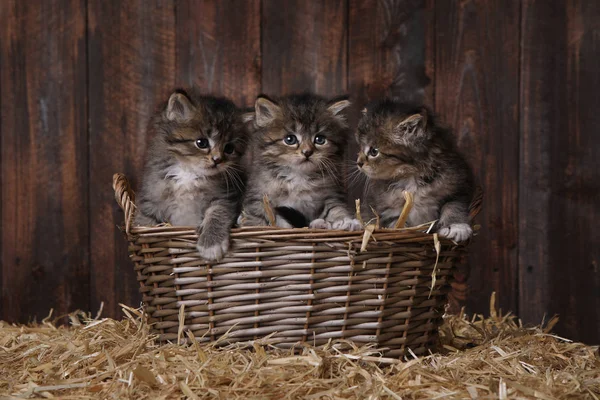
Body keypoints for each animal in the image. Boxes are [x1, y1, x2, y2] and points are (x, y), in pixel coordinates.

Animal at [135, 88, 247, 260]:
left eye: (229, 148)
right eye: (201, 143)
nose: (217, 160)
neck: (189, 174)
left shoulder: (226, 196)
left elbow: (217, 214)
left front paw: (211, 245)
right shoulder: (150, 196)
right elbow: (144, 220)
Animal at [239, 93, 360, 231]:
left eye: (320, 139)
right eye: (290, 139)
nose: (307, 152)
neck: (298, 176)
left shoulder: (331, 194)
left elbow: (336, 209)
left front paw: (346, 221)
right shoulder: (259, 196)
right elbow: (258, 218)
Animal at [356, 99, 474, 242]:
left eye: (374, 151)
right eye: (360, 147)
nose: (359, 163)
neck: (411, 175)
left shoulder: (458, 185)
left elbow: (454, 206)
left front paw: (457, 227)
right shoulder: (383, 206)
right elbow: (395, 223)